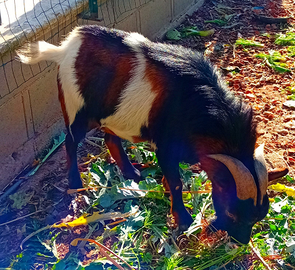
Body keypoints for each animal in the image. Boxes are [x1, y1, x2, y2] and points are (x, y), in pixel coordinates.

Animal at [16, 25, 290, 245]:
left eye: (260, 216)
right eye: (233, 212)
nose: (241, 241)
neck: (200, 104)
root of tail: (64, 49)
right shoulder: (165, 146)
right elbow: (177, 182)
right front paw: (183, 219)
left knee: (110, 137)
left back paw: (132, 174)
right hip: (77, 109)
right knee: (71, 142)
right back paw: (75, 184)